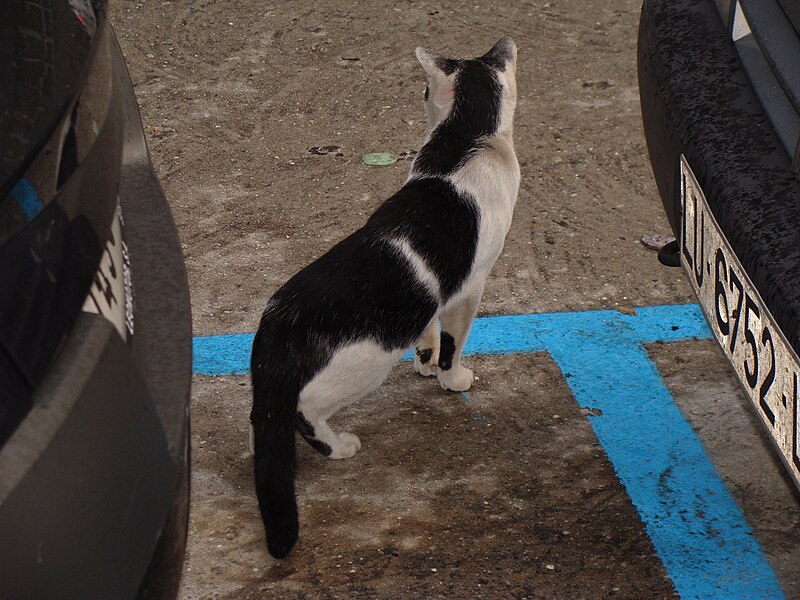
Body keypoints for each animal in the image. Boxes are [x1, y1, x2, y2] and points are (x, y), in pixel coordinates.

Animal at [253, 37, 520, 556]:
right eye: (423, 89)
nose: (418, 93)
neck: (466, 140)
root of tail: (277, 321)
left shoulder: (432, 296)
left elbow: (429, 331)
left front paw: (425, 362)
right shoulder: (468, 289)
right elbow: (455, 342)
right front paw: (451, 377)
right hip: (365, 363)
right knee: (304, 410)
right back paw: (338, 446)